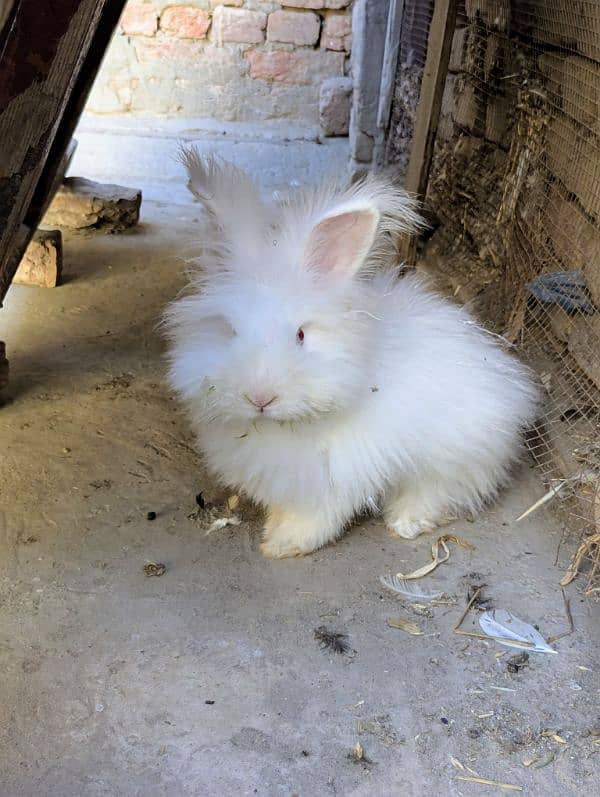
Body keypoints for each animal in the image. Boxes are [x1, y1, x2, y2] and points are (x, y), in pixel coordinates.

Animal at [164, 151, 540, 560]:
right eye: (230, 331)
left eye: (300, 335)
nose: (260, 397)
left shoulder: (334, 477)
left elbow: (318, 517)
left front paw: (282, 545)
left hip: (456, 452)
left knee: (445, 489)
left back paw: (406, 522)